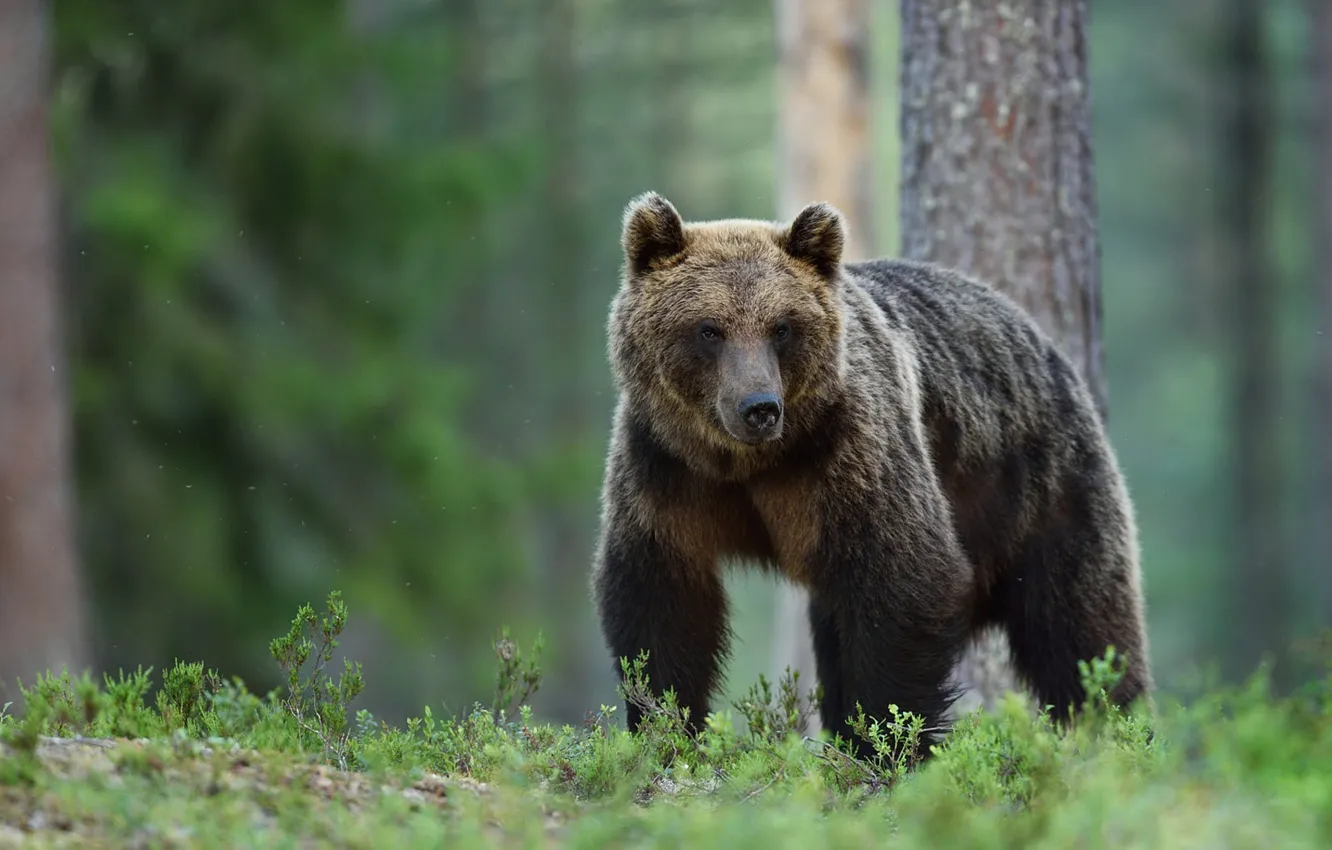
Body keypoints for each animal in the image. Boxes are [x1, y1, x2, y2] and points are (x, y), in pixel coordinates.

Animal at [590, 191, 1152, 756]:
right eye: (709, 329)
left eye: (781, 327)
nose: (759, 407)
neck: (749, 461)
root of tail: (1039, 335)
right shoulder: (666, 470)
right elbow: (661, 601)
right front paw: (666, 730)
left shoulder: (853, 455)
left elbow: (904, 582)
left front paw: (888, 741)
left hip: (1038, 485)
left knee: (1080, 624)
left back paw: (1118, 729)